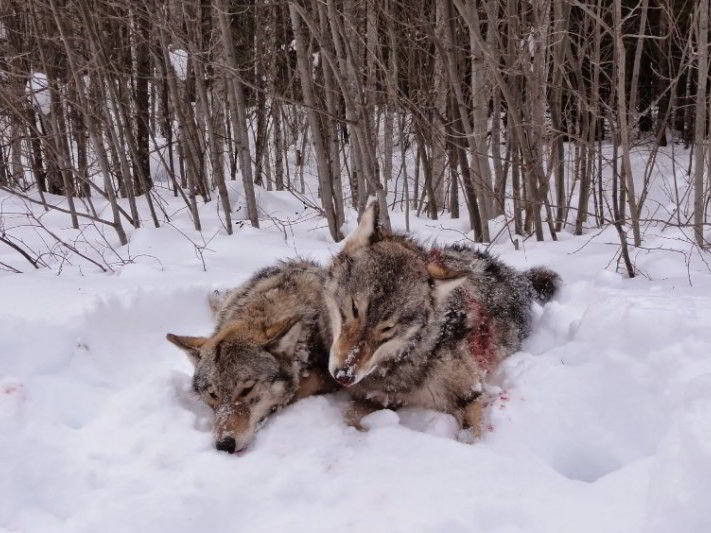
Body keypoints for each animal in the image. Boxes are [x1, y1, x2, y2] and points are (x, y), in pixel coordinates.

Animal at [324, 202, 560, 434]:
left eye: (388, 328)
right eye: (355, 309)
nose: (344, 375)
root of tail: (517, 277)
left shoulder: (470, 394)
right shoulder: (376, 397)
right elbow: (349, 416)